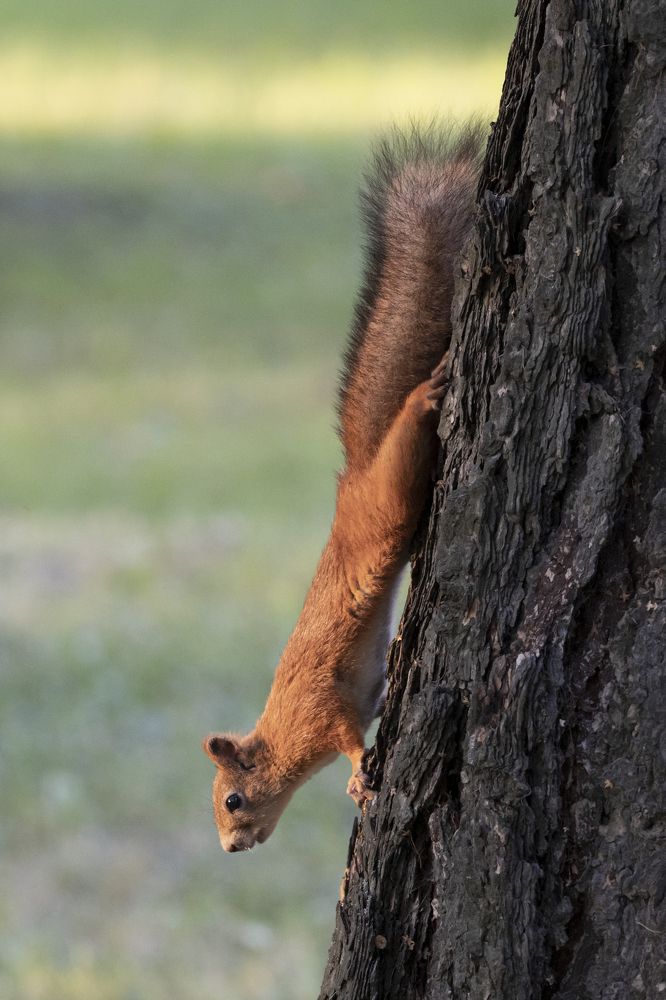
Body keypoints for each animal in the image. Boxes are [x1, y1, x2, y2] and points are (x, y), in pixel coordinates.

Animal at [203, 123, 482, 852]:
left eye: (234, 799)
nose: (233, 847)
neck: (279, 736)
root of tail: (352, 481)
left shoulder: (322, 711)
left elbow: (352, 741)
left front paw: (360, 779)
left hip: (392, 490)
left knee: (406, 440)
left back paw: (425, 396)